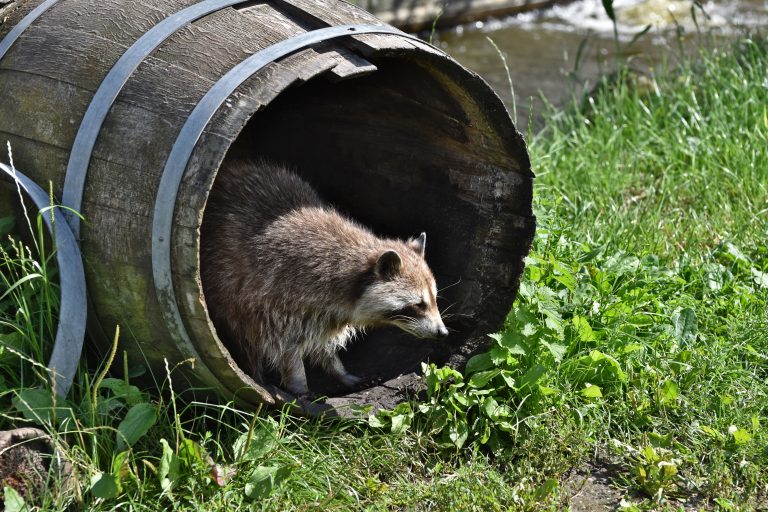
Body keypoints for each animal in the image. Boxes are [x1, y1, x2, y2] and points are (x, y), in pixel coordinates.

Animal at [201, 160, 448, 396]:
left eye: (434, 299)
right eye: (418, 304)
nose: (443, 333)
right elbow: (284, 346)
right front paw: (298, 383)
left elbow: (323, 343)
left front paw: (339, 370)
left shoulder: (326, 314)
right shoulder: (272, 295)